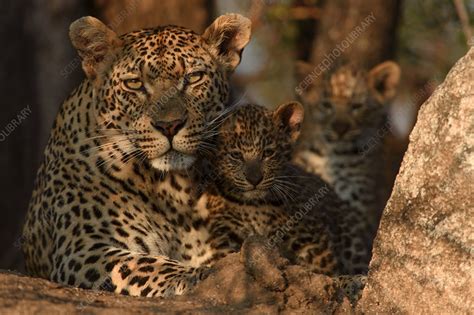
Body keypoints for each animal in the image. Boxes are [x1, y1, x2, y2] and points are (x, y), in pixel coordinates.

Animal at [21, 12, 250, 298]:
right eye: (134, 84)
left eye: (194, 77)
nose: (170, 125)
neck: (174, 188)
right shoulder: (84, 248)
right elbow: (145, 264)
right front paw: (194, 276)